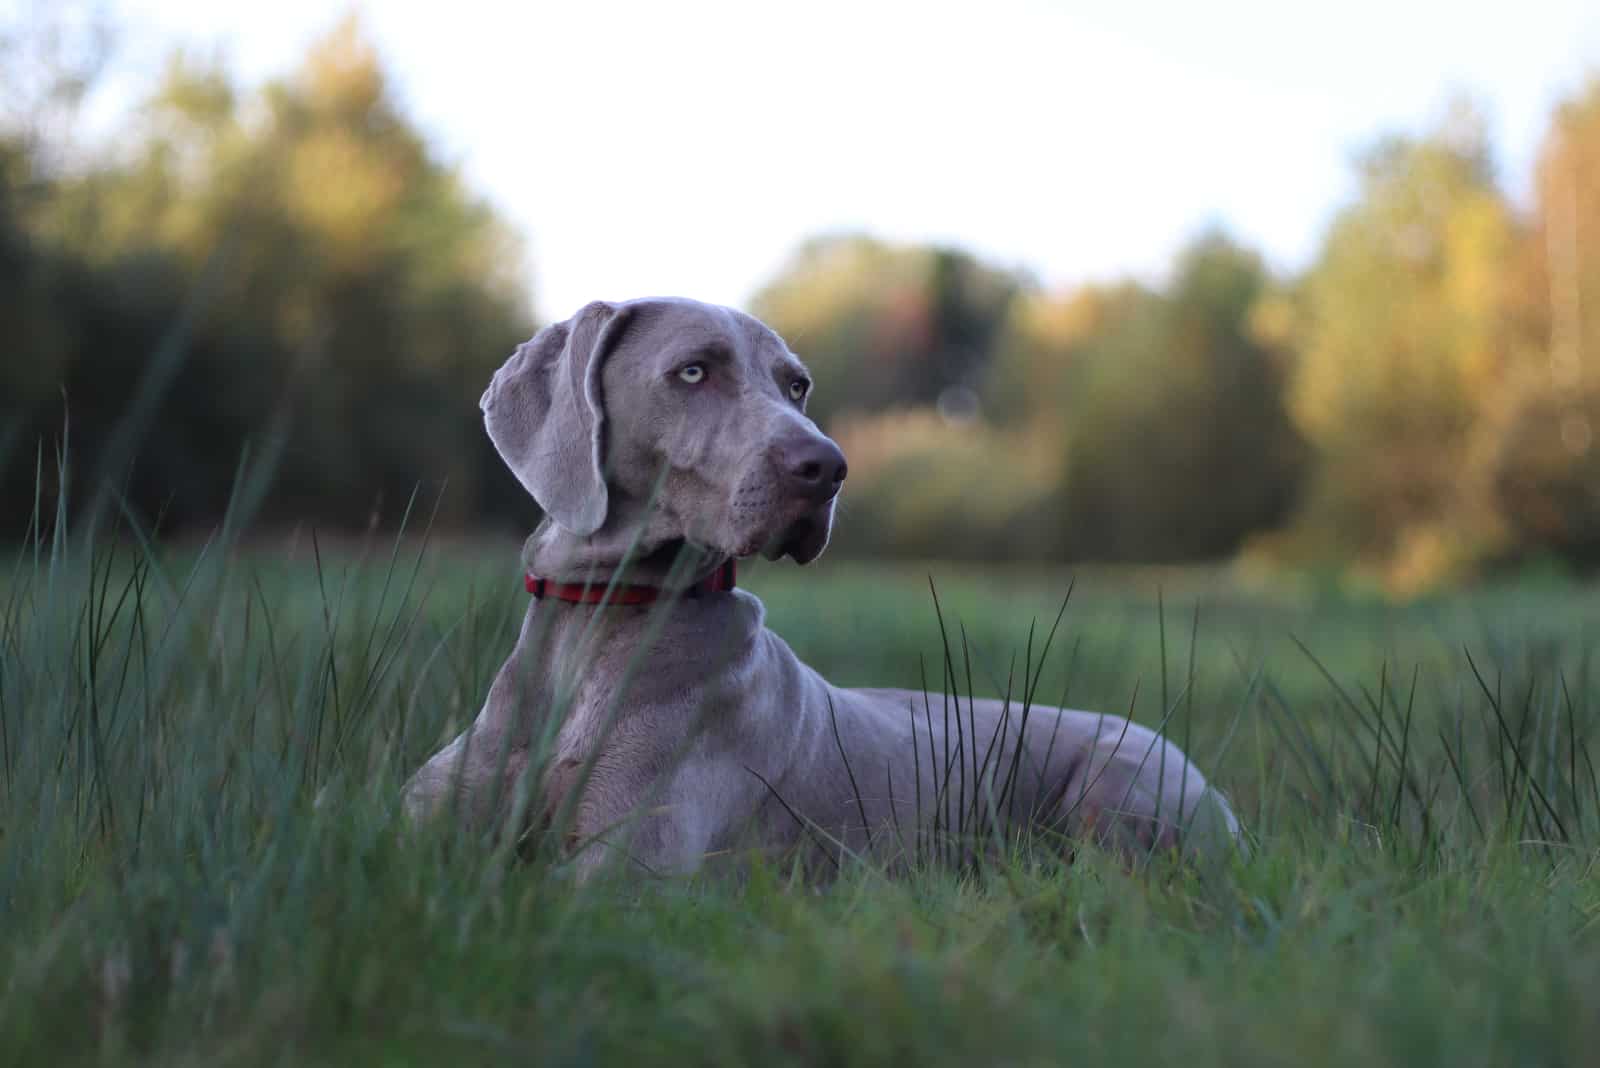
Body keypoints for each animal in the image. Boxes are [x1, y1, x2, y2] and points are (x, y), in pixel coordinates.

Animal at [403, 294, 1248, 876]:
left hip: (1117, 794)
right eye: (692, 371)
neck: (598, 624)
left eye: (797, 385)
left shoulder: (629, 867)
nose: (828, 468)